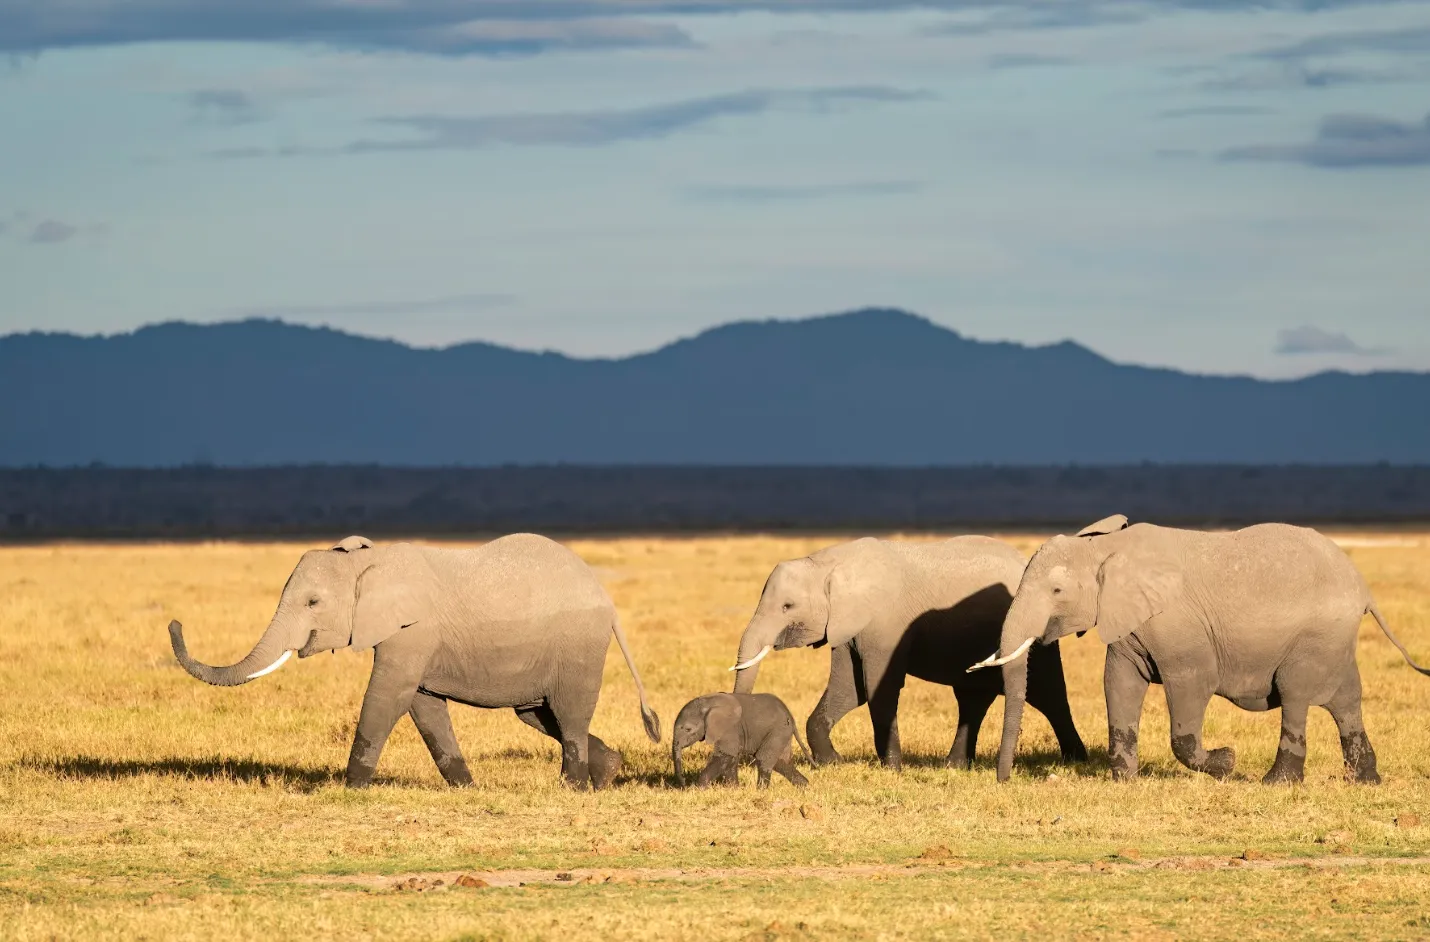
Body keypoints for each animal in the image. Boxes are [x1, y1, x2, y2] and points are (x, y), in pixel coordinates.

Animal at [170, 534, 660, 794]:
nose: (174, 623)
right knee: (538, 714)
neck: (369, 562)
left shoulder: (412, 630)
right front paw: (466, 789)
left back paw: (572, 788)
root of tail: (606, 599)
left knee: (569, 712)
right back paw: (607, 774)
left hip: (579, 643)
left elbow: (388, 696)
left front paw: (348, 790)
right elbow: (424, 706)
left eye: (312, 603)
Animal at [672, 691, 812, 789]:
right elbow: (731, 758)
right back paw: (805, 787)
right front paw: (734, 789)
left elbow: (726, 754)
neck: (707, 703)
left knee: (764, 758)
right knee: (781, 762)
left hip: (778, 730)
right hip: (782, 732)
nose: (683, 784)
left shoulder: (730, 728)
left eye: (688, 729)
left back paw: (761, 791)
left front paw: (698, 789)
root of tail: (790, 716)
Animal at [737, 537, 1081, 771]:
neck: (829, 563)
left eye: (787, 606)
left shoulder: (884, 623)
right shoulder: (848, 626)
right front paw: (833, 762)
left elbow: (878, 688)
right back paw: (954, 765)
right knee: (972, 699)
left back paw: (1075, 760)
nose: (745, 759)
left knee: (1049, 695)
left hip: (1037, 627)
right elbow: (850, 690)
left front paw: (891, 767)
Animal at [972, 511, 1430, 783]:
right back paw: (1364, 781)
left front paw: (1227, 761)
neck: (1104, 548)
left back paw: (1276, 783)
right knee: (1347, 698)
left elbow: (1190, 687)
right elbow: (1119, 682)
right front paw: (1123, 781)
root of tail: (1363, 587)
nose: (1004, 780)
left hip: (1317, 634)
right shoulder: (1127, 621)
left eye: (1056, 591)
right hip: (1335, 639)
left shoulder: (1180, 626)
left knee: (1296, 695)